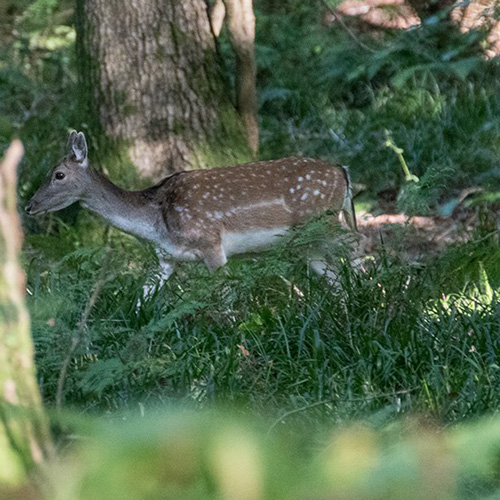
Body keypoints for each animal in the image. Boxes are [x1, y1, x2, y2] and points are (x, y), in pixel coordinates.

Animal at [25, 131, 358, 298]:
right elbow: (142, 297)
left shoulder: (211, 242)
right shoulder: (166, 259)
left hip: (323, 218)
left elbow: (226, 297)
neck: (155, 221)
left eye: (58, 174)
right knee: (333, 274)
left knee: (356, 240)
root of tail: (342, 171)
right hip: (309, 243)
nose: (29, 205)